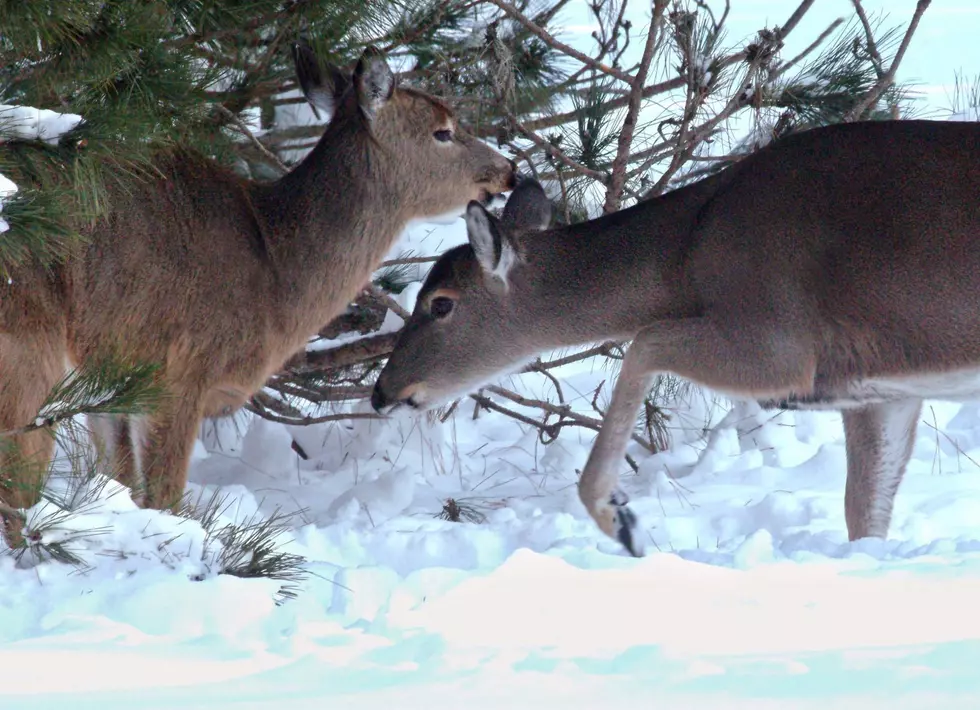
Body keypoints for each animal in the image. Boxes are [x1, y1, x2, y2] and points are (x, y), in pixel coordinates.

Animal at [0, 39, 516, 544]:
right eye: (442, 130)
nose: (508, 171)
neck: (274, 265)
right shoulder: (181, 370)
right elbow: (162, 498)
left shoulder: (110, 381)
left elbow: (119, 481)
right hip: (26, 339)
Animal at [368, 119, 980, 560]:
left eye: (441, 303)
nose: (383, 391)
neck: (689, 253)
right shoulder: (880, 389)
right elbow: (865, 513)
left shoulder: (782, 341)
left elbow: (644, 343)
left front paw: (618, 518)